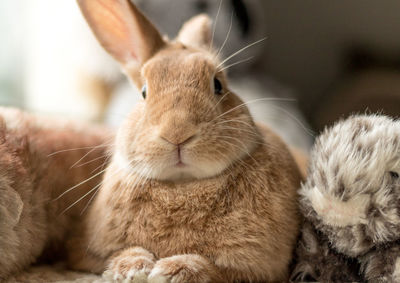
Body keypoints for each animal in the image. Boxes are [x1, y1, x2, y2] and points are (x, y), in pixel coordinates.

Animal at [66, 0, 304, 283]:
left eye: (218, 85)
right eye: (144, 92)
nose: (177, 132)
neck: (182, 185)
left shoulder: (262, 270)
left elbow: (217, 271)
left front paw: (172, 271)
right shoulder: (86, 254)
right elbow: (117, 255)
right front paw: (134, 269)